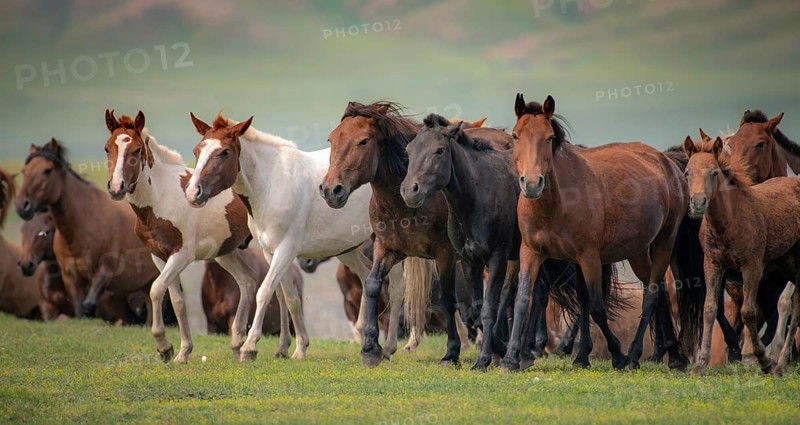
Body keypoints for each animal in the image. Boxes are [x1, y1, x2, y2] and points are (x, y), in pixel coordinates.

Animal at [15, 139, 157, 324]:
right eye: (24, 171)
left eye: (47, 170)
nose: (22, 205)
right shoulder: (71, 276)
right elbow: (79, 309)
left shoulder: (106, 269)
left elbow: (89, 305)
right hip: (144, 284)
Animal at [103, 110, 266, 363]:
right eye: (107, 148)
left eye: (137, 150)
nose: (116, 187)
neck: (161, 198)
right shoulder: (159, 256)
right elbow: (177, 300)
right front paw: (182, 351)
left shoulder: (182, 255)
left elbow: (156, 290)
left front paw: (163, 346)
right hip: (225, 252)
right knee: (248, 281)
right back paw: (238, 342)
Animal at [186, 113, 407, 362]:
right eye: (197, 150)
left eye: (224, 152)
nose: (193, 192)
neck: (271, 184)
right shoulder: (271, 252)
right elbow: (289, 297)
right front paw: (297, 347)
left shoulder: (286, 250)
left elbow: (264, 292)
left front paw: (249, 347)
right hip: (346, 248)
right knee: (364, 274)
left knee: (396, 286)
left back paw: (388, 347)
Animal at [505, 94, 689, 371]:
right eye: (516, 135)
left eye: (549, 138)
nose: (532, 184)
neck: (556, 203)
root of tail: (667, 163)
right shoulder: (531, 252)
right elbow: (522, 300)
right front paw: (511, 359)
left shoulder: (589, 257)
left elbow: (597, 307)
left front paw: (617, 355)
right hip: (637, 252)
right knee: (659, 292)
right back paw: (674, 356)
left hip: (664, 242)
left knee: (652, 294)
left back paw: (634, 355)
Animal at [684, 136, 800, 376]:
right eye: (687, 172)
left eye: (714, 172)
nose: (698, 203)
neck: (729, 222)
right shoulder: (712, 264)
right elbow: (709, 308)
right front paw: (700, 365)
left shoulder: (752, 265)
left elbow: (748, 311)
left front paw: (762, 360)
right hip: (787, 264)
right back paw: (781, 364)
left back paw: (778, 363)